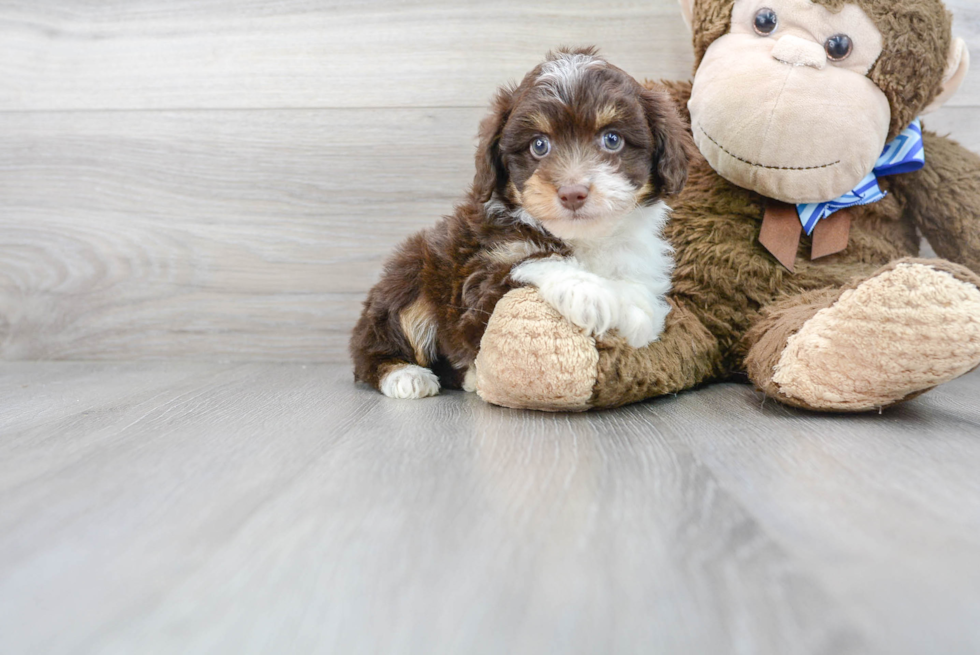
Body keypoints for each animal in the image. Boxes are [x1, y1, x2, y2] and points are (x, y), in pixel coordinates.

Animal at [350, 47, 688, 400]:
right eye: (539, 145)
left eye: (612, 139)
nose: (572, 193)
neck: (582, 238)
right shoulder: (480, 272)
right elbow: (532, 258)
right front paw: (590, 293)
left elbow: (636, 287)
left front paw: (639, 312)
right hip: (410, 276)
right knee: (373, 346)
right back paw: (404, 375)